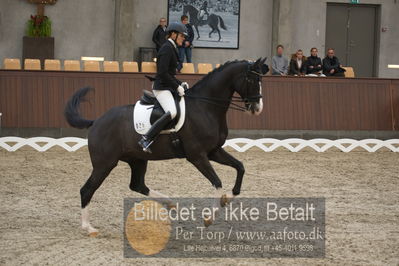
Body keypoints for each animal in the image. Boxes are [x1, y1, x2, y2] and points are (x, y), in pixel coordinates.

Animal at [64, 57, 268, 235]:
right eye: (252, 79)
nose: (257, 108)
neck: (206, 106)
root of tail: (96, 121)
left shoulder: (213, 151)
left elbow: (240, 167)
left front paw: (228, 198)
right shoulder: (197, 156)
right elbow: (217, 183)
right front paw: (209, 218)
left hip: (137, 160)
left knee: (137, 185)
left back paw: (170, 204)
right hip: (105, 164)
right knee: (87, 190)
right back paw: (88, 228)